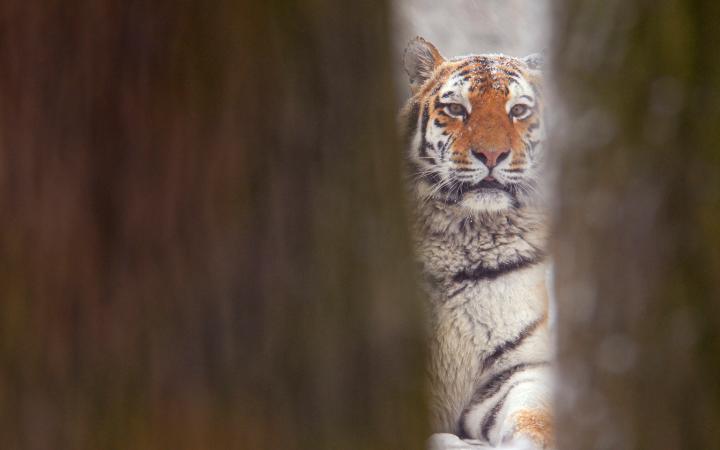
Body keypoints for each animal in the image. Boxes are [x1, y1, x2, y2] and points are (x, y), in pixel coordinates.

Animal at [400, 37, 554, 450]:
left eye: (518, 110)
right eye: (456, 109)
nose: (491, 155)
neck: (467, 235)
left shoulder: (516, 368)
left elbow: (535, 415)